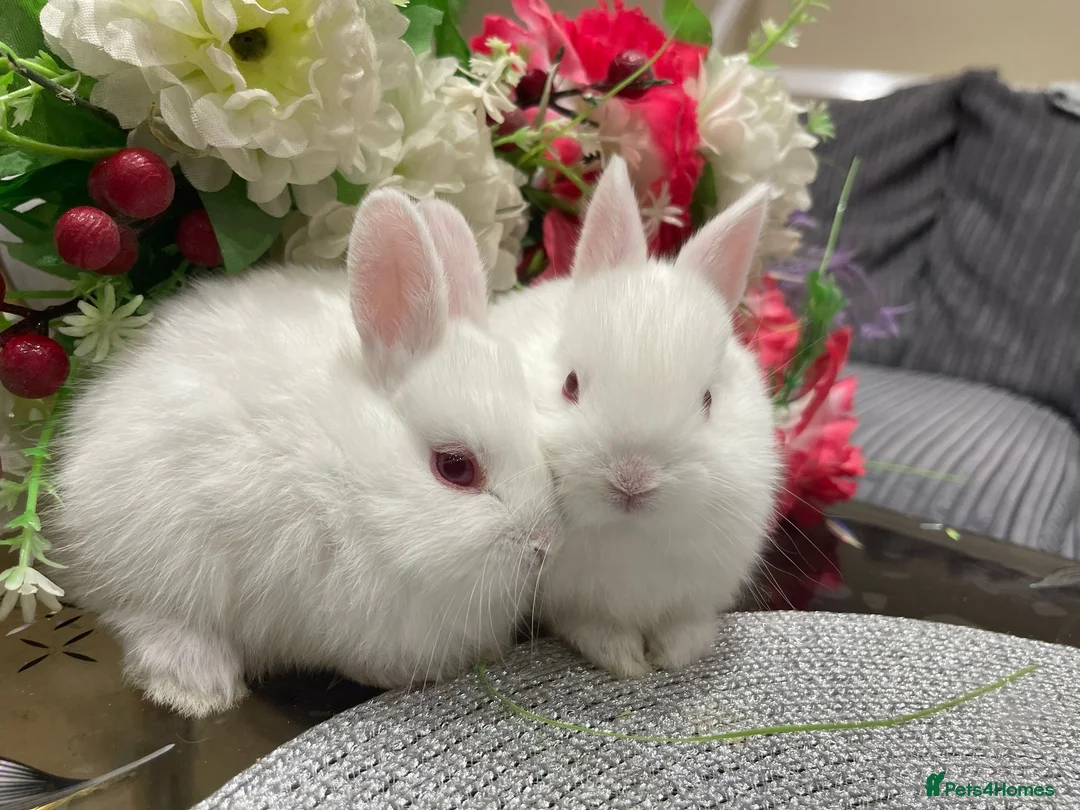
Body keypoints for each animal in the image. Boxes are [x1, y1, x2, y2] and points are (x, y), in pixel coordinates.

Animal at [46, 190, 559, 718]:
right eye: (455, 467)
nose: (543, 544)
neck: (348, 472)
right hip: (154, 555)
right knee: (145, 618)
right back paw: (196, 690)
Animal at [488, 156, 781, 679]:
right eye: (570, 384)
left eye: (708, 400)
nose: (631, 480)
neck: (631, 535)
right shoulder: (574, 602)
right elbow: (593, 627)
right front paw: (626, 661)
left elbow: (685, 624)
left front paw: (675, 654)